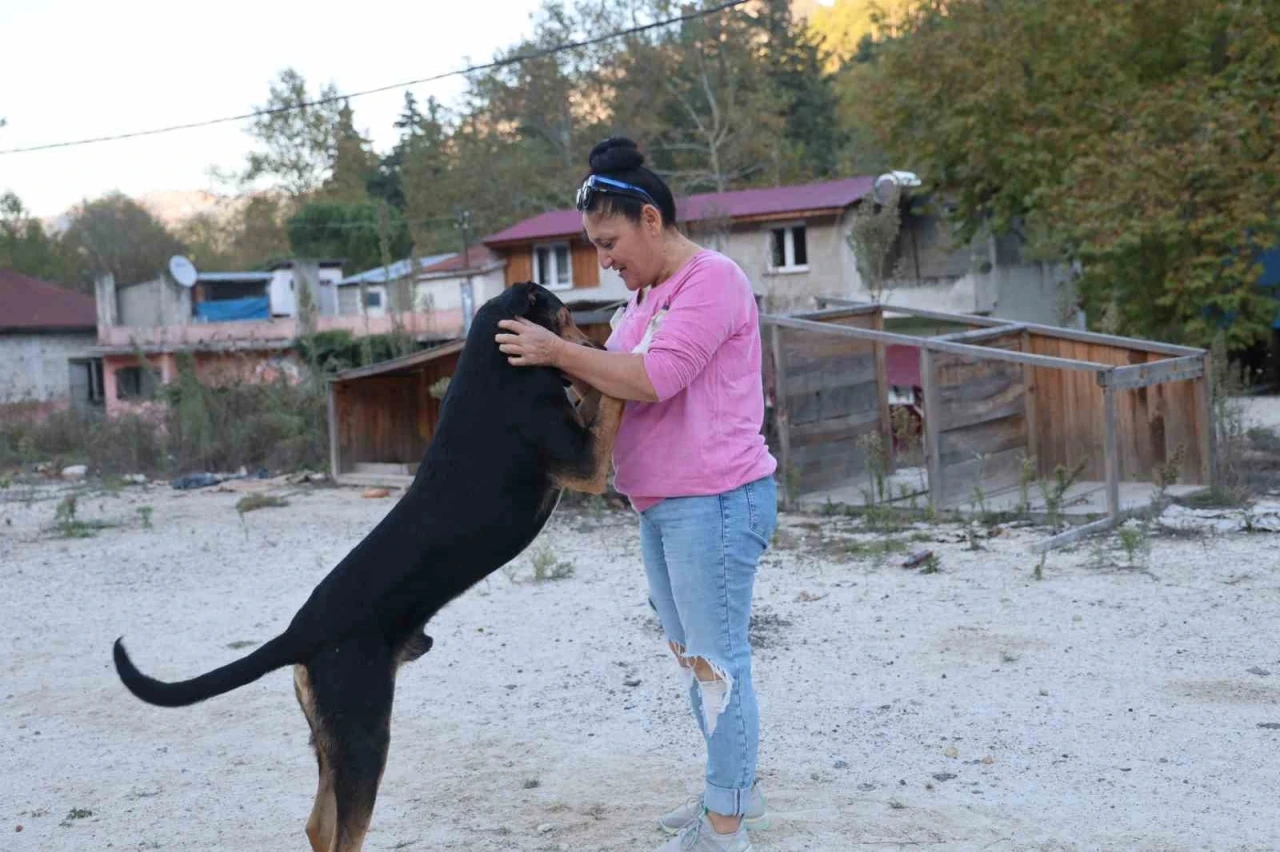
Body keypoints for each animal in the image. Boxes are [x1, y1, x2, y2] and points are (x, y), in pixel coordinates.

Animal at [112, 284, 622, 849]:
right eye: (567, 314)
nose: (592, 341)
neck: (494, 356)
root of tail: (299, 633)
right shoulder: (585, 463)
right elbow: (610, 397)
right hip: (365, 734)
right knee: (342, 831)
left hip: (332, 740)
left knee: (317, 824)